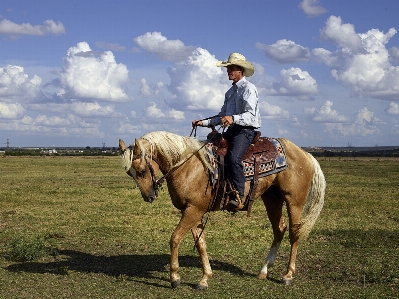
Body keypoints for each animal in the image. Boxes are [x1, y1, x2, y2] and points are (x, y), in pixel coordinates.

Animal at [119, 131, 324, 290]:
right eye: (130, 173)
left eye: (142, 170)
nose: (149, 196)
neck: (188, 165)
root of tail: (305, 153)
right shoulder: (193, 211)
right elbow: (201, 244)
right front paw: (204, 279)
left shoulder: (193, 210)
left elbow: (175, 238)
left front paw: (175, 278)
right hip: (272, 199)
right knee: (279, 229)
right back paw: (264, 270)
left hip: (294, 202)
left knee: (294, 234)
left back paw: (288, 275)